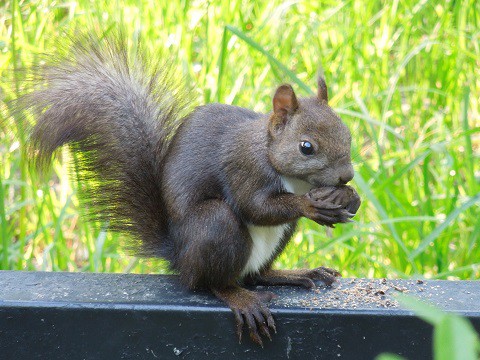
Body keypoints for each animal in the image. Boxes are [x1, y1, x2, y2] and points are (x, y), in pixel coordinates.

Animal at [20, 33, 362, 346]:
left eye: (347, 133)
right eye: (306, 147)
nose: (347, 175)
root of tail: (180, 257)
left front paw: (352, 197)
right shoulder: (244, 169)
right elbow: (254, 207)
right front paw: (310, 206)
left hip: (279, 236)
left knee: (257, 274)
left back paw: (296, 274)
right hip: (215, 226)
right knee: (212, 282)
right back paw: (241, 298)